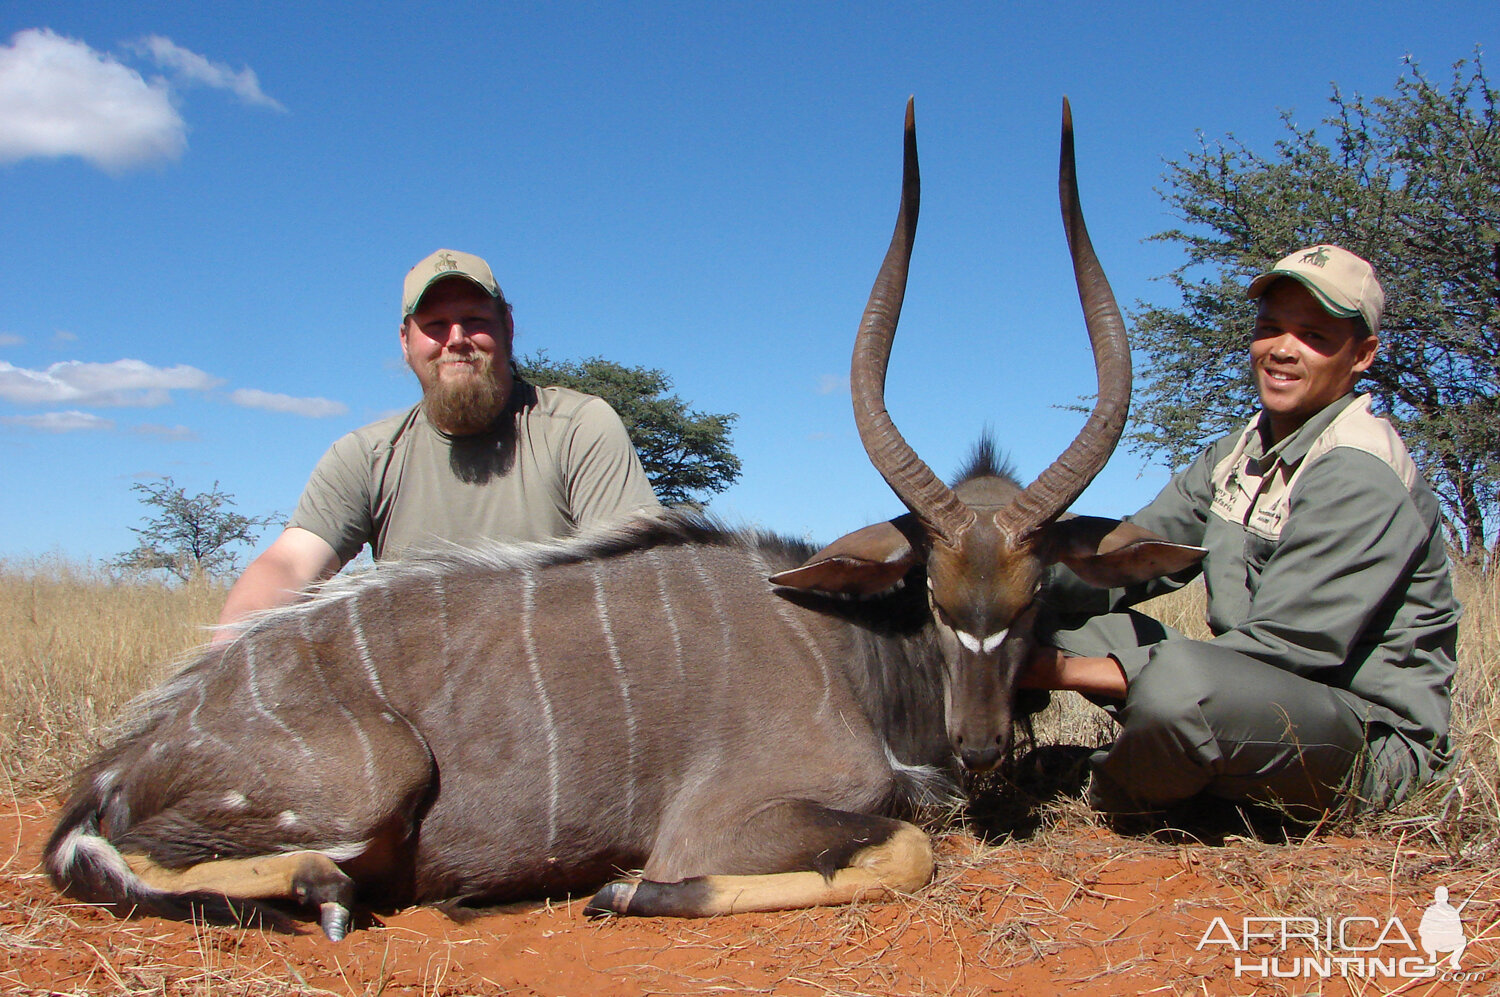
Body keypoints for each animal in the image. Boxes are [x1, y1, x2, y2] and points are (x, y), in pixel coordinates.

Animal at [41, 101, 1200, 935]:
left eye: (1040, 591)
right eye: (931, 587)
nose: (982, 743)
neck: (856, 651)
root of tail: (124, 757)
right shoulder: (728, 821)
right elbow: (907, 849)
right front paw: (627, 890)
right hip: (376, 773)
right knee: (122, 860)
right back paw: (324, 891)